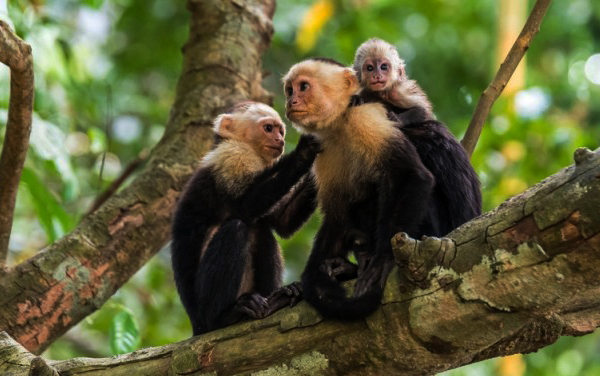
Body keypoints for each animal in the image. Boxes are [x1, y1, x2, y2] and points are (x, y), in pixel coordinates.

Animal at [171, 100, 322, 334]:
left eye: (280, 131)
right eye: (268, 128)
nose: (280, 140)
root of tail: (196, 325)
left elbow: (281, 222)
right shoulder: (233, 157)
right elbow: (246, 206)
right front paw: (305, 151)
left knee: (260, 230)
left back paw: (276, 299)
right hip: (203, 311)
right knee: (237, 228)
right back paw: (225, 316)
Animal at [284, 57, 434, 318]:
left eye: (303, 87)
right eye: (290, 90)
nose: (291, 101)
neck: (341, 122)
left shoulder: (367, 119)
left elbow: (411, 175)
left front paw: (384, 260)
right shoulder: (322, 150)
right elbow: (337, 214)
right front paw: (314, 278)